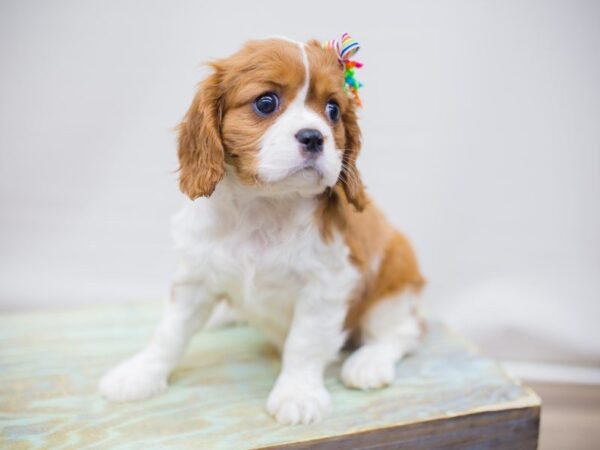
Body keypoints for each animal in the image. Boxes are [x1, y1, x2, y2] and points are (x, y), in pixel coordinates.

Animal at [98, 36, 424, 426]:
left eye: (332, 110)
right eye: (266, 103)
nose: (314, 137)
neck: (264, 205)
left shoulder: (326, 284)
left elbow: (304, 342)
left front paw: (298, 393)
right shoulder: (195, 277)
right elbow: (169, 332)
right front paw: (141, 373)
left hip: (396, 278)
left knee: (403, 333)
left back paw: (369, 362)